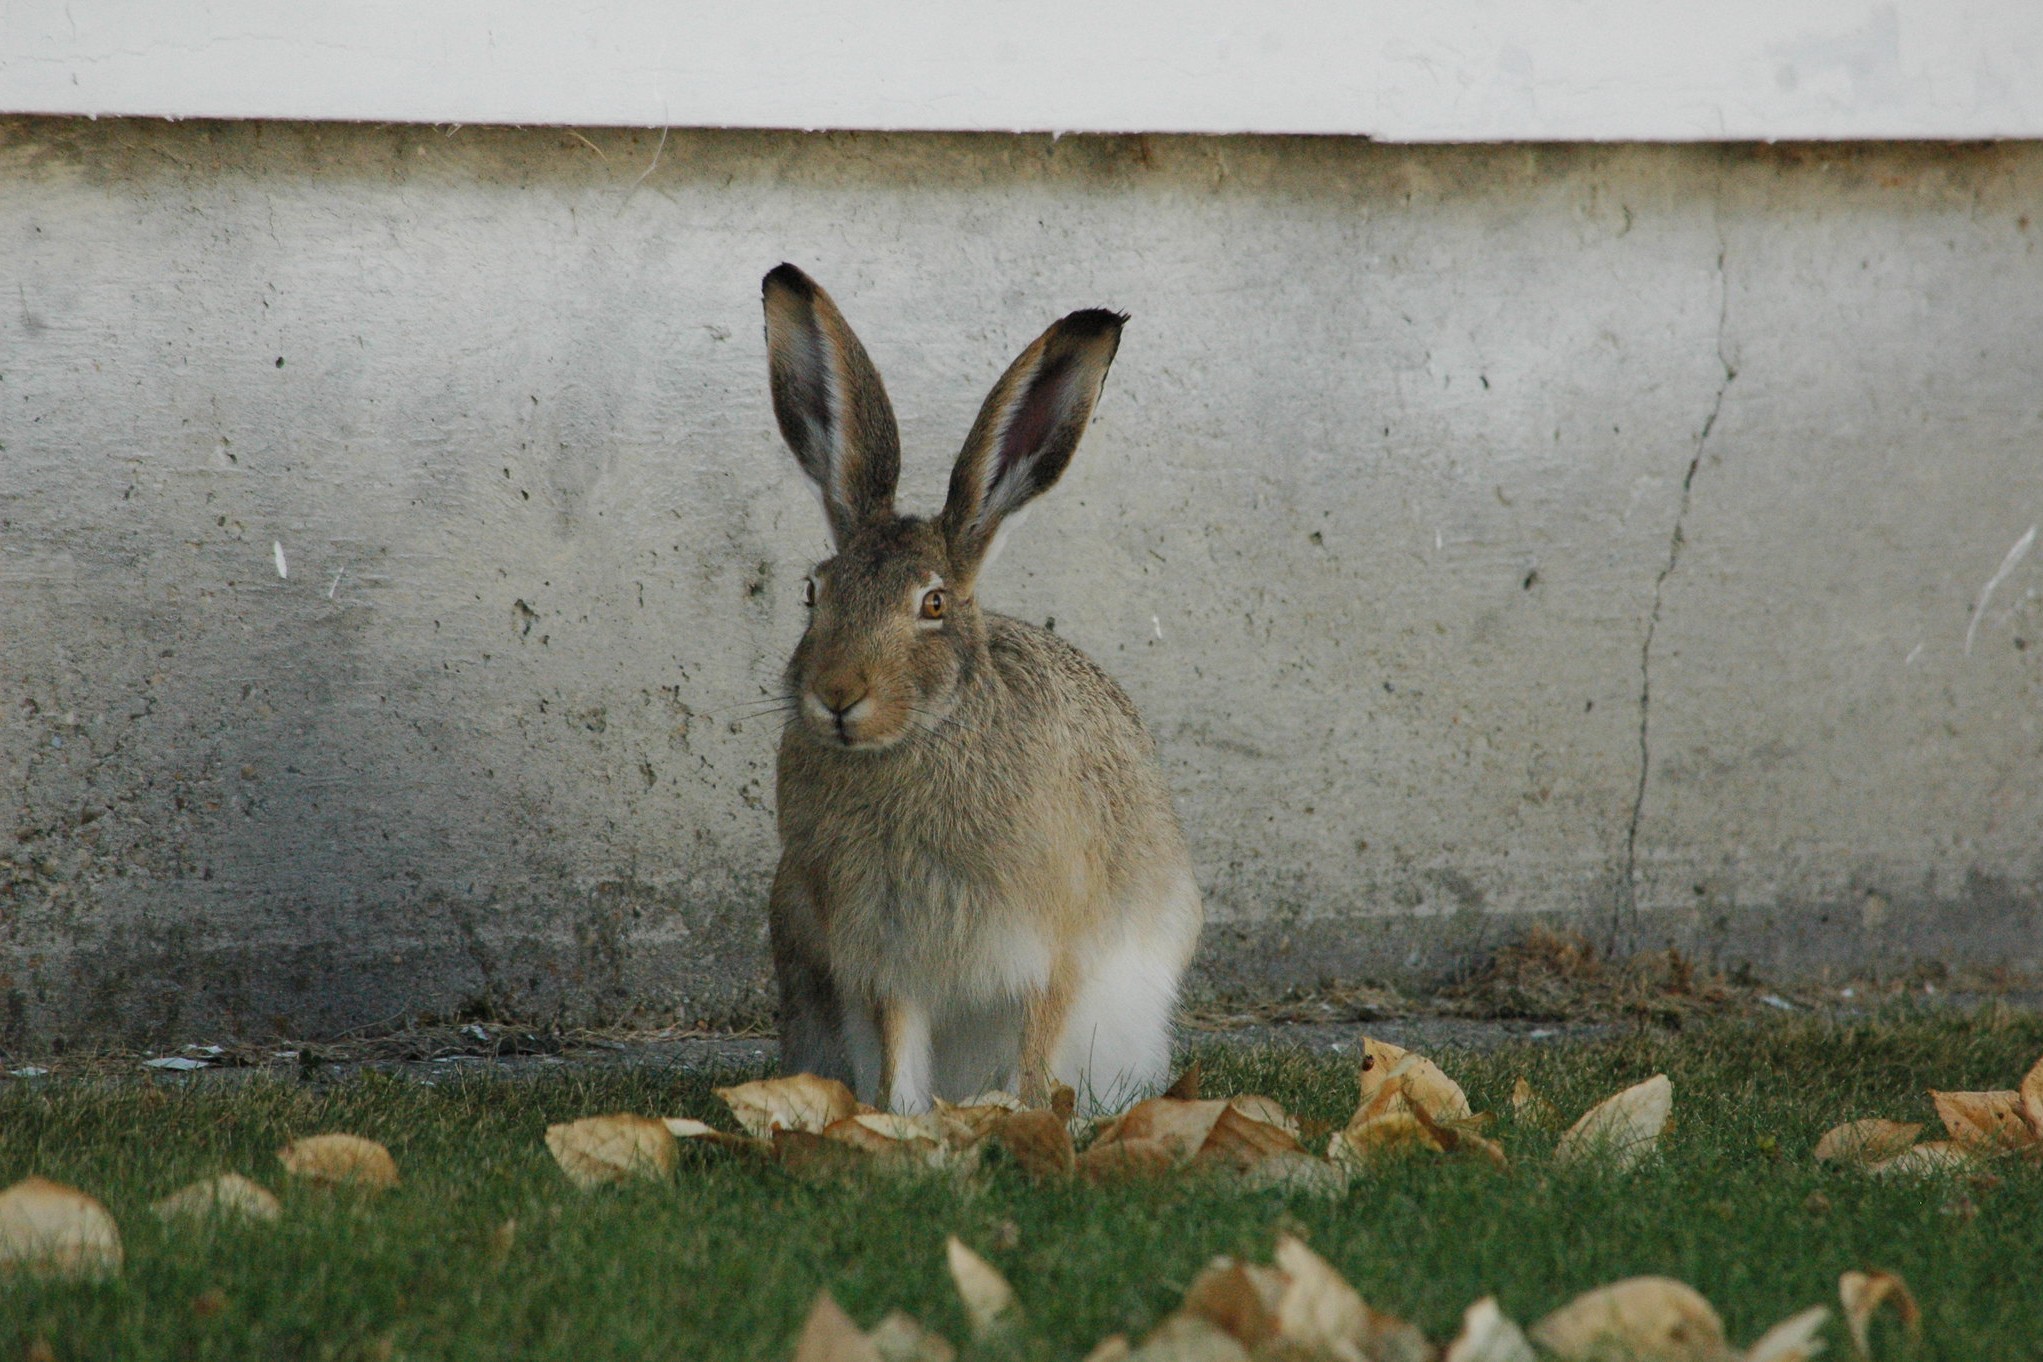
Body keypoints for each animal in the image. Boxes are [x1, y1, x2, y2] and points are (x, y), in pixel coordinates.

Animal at [758, 263, 1203, 1116]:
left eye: (932, 604)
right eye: (812, 592)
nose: (837, 696)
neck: (922, 739)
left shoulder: (1055, 944)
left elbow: (1037, 1039)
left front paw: (1025, 1118)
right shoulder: (884, 957)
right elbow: (900, 1043)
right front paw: (900, 1121)